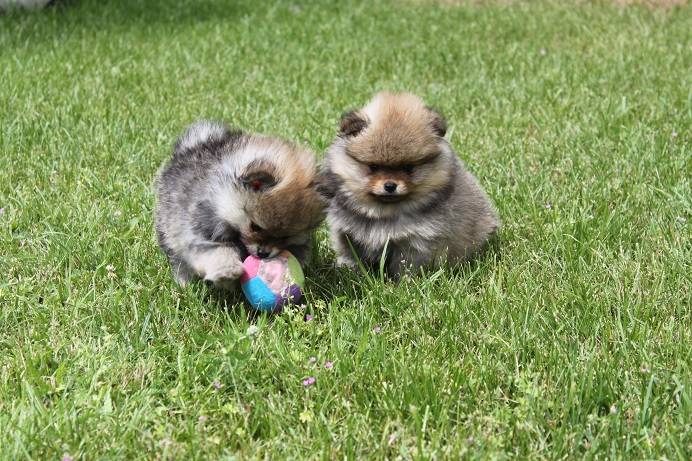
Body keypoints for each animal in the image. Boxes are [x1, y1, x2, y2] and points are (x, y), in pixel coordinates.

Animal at [155, 120, 324, 286]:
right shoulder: (201, 229)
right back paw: (185, 284)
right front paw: (226, 271)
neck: (223, 200)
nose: (263, 253)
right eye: (255, 227)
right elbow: (217, 251)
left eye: (286, 236)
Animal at [316, 91, 500, 274]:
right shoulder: (346, 232)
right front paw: (347, 269)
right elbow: (349, 254)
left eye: (408, 167)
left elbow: (405, 265)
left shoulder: (414, 240)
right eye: (373, 167)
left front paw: (403, 281)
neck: (383, 213)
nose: (390, 185)